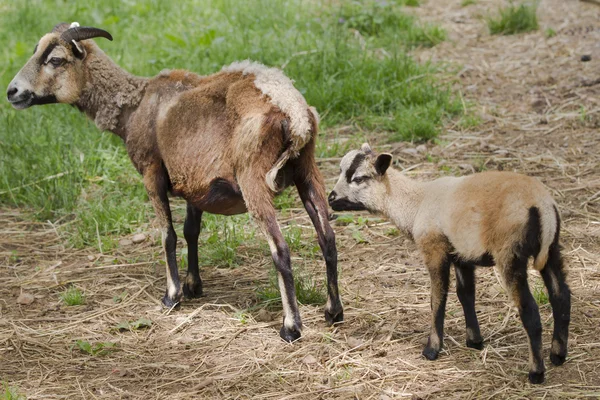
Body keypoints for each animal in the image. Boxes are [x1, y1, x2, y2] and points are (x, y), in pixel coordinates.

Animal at [5, 22, 342, 340]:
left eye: (55, 59)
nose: (12, 92)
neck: (134, 105)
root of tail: (295, 116)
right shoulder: (196, 183)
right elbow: (191, 231)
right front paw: (194, 285)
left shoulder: (151, 171)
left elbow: (168, 235)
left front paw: (172, 296)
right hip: (307, 171)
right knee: (327, 239)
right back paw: (333, 313)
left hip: (253, 178)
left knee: (281, 249)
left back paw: (291, 327)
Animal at [328, 144, 572, 384]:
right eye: (340, 171)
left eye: (359, 178)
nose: (330, 198)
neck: (415, 203)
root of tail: (542, 206)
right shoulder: (462, 255)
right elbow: (465, 294)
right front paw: (474, 341)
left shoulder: (435, 249)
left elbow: (438, 298)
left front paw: (432, 349)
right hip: (552, 249)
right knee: (561, 296)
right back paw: (558, 354)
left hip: (510, 253)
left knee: (529, 309)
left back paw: (536, 372)